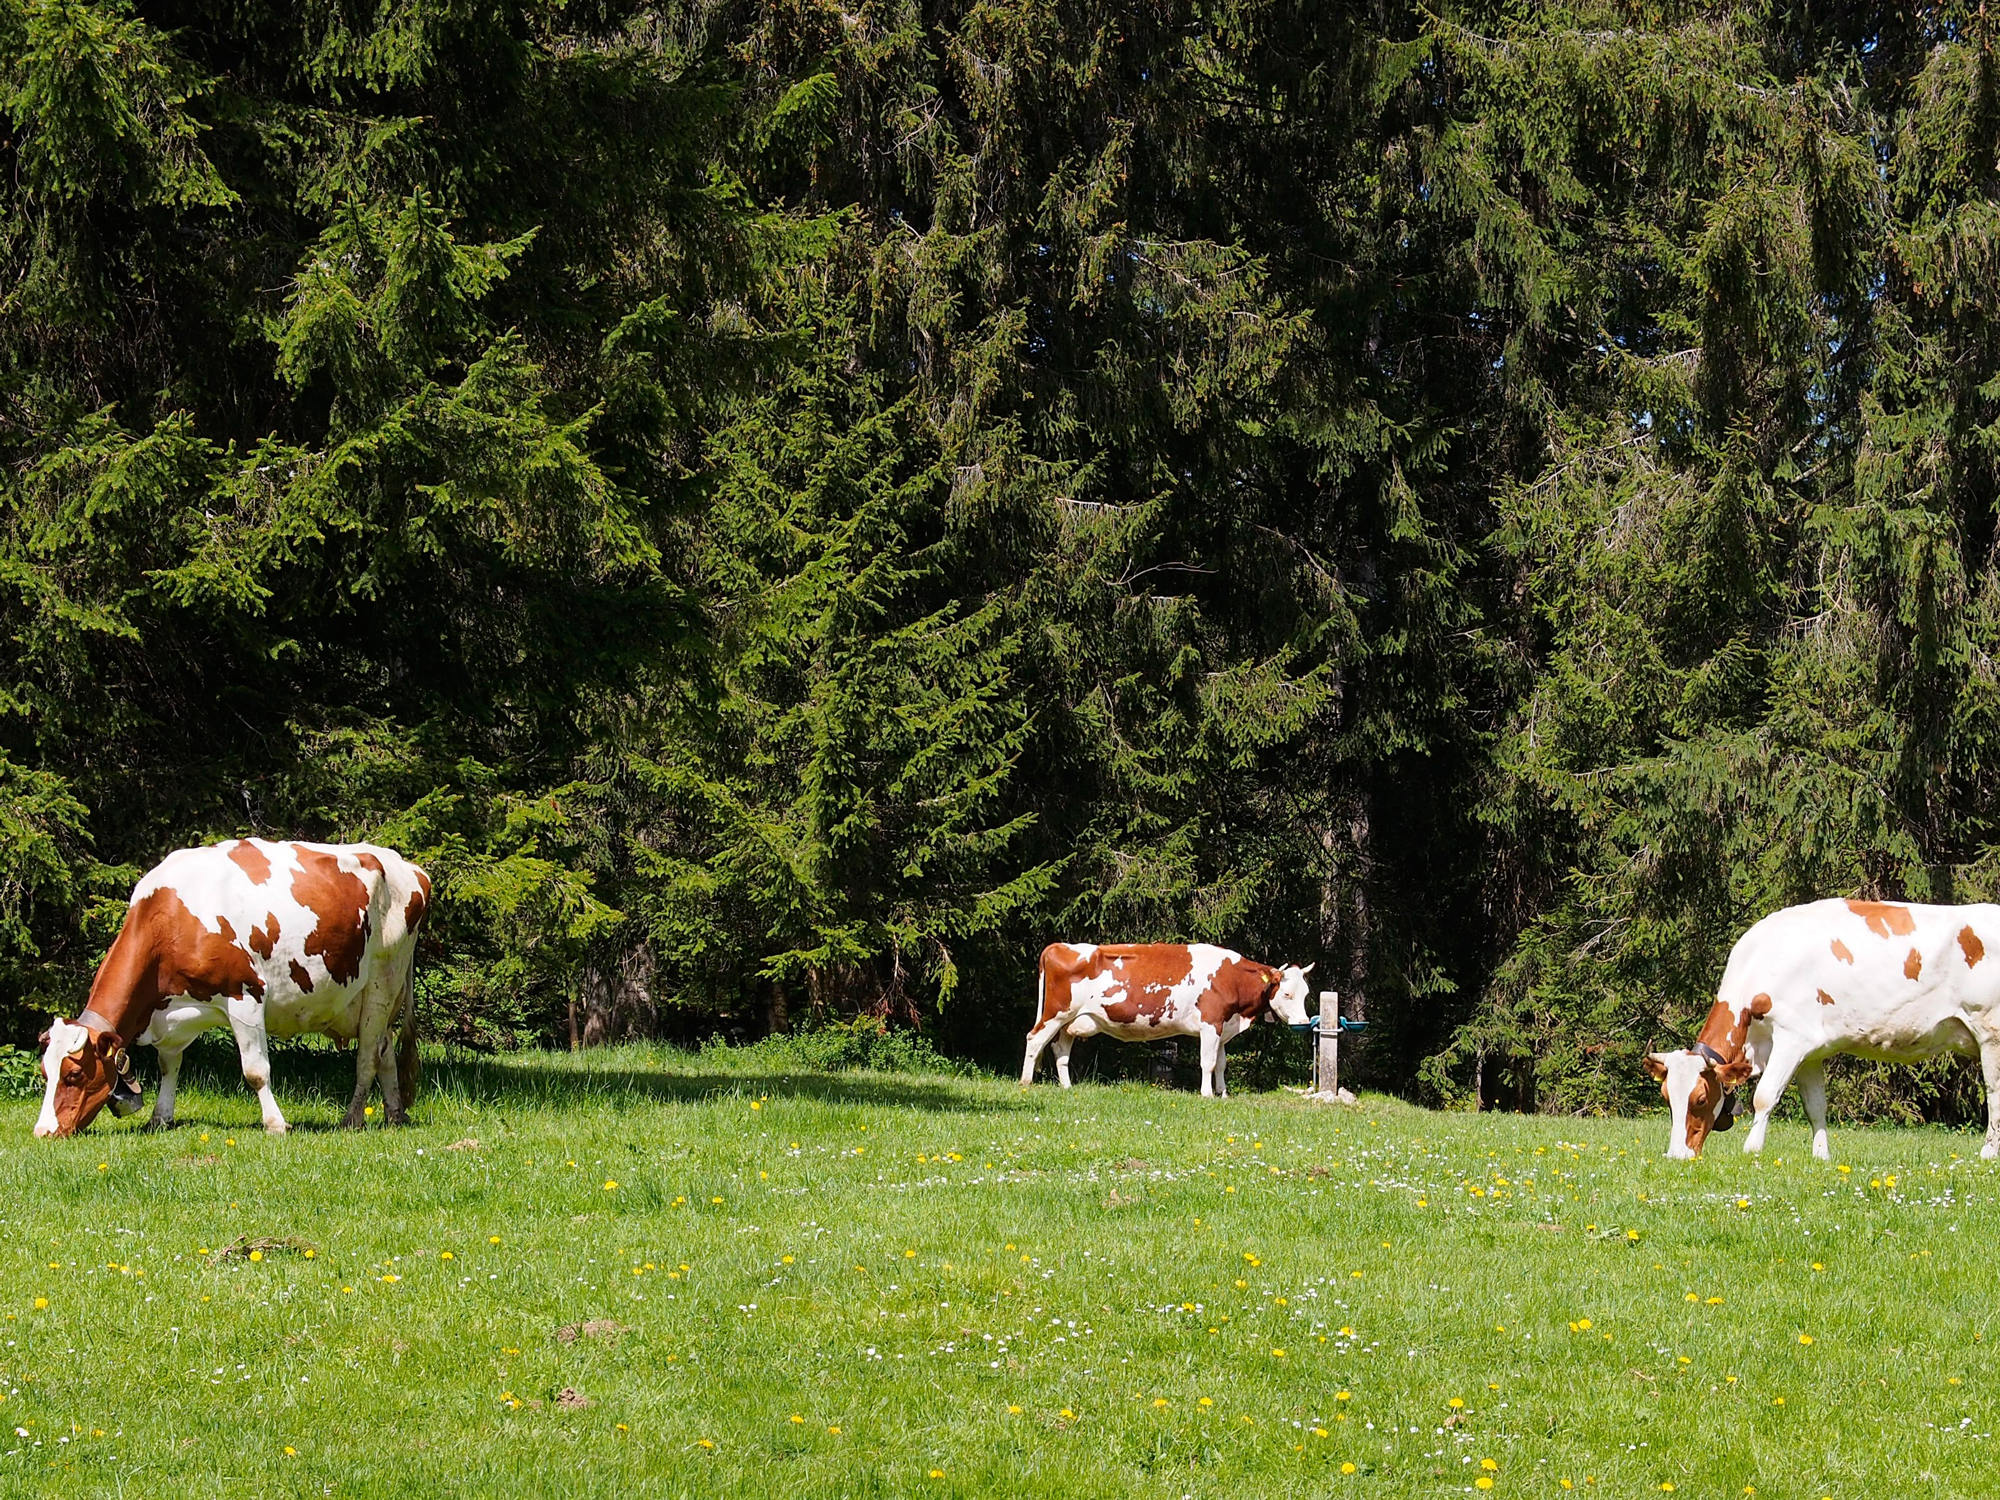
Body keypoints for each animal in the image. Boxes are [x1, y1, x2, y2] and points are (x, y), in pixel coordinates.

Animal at [35, 839, 431, 1138]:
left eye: (73, 1074)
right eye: (45, 1073)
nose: (43, 1132)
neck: (171, 917)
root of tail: (404, 864)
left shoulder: (246, 996)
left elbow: (256, 1070)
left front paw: (275, 1124)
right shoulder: (172, 1012)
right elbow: (168, 1065)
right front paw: (160, 1117)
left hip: (382, 980)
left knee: (367, 1057)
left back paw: (353, 1118)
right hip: (368, 999)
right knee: (384, 1050)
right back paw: (394, 1114)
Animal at [1020, 943, 1314, 1096]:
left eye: (1306, 993)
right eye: (1286, 993)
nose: (1302, 1022)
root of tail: (1058, 946)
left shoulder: (1223, 1027)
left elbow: (1221, 1064)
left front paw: (1223, 1093)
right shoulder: (1210, 1023)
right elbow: (1207, 1063)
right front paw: (1207, 1094)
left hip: (1071, 1020)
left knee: (1060, 1049)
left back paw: (1067, 1086)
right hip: (1056, 1013)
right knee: (1034, 1039)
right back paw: (1025, 1082)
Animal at [1647, 897, 2000, 1162]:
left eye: (1701, 1099)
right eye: (1667, 1098)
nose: (1676, 1156)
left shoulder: (1791, 1037)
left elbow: (1764, 1096)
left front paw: (1752, 1150)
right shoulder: (1811, 1051)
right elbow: (1815, 1106)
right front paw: (1821, 1156)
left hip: (1990, 1032)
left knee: (1994, 1093)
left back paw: (1987, 1154)